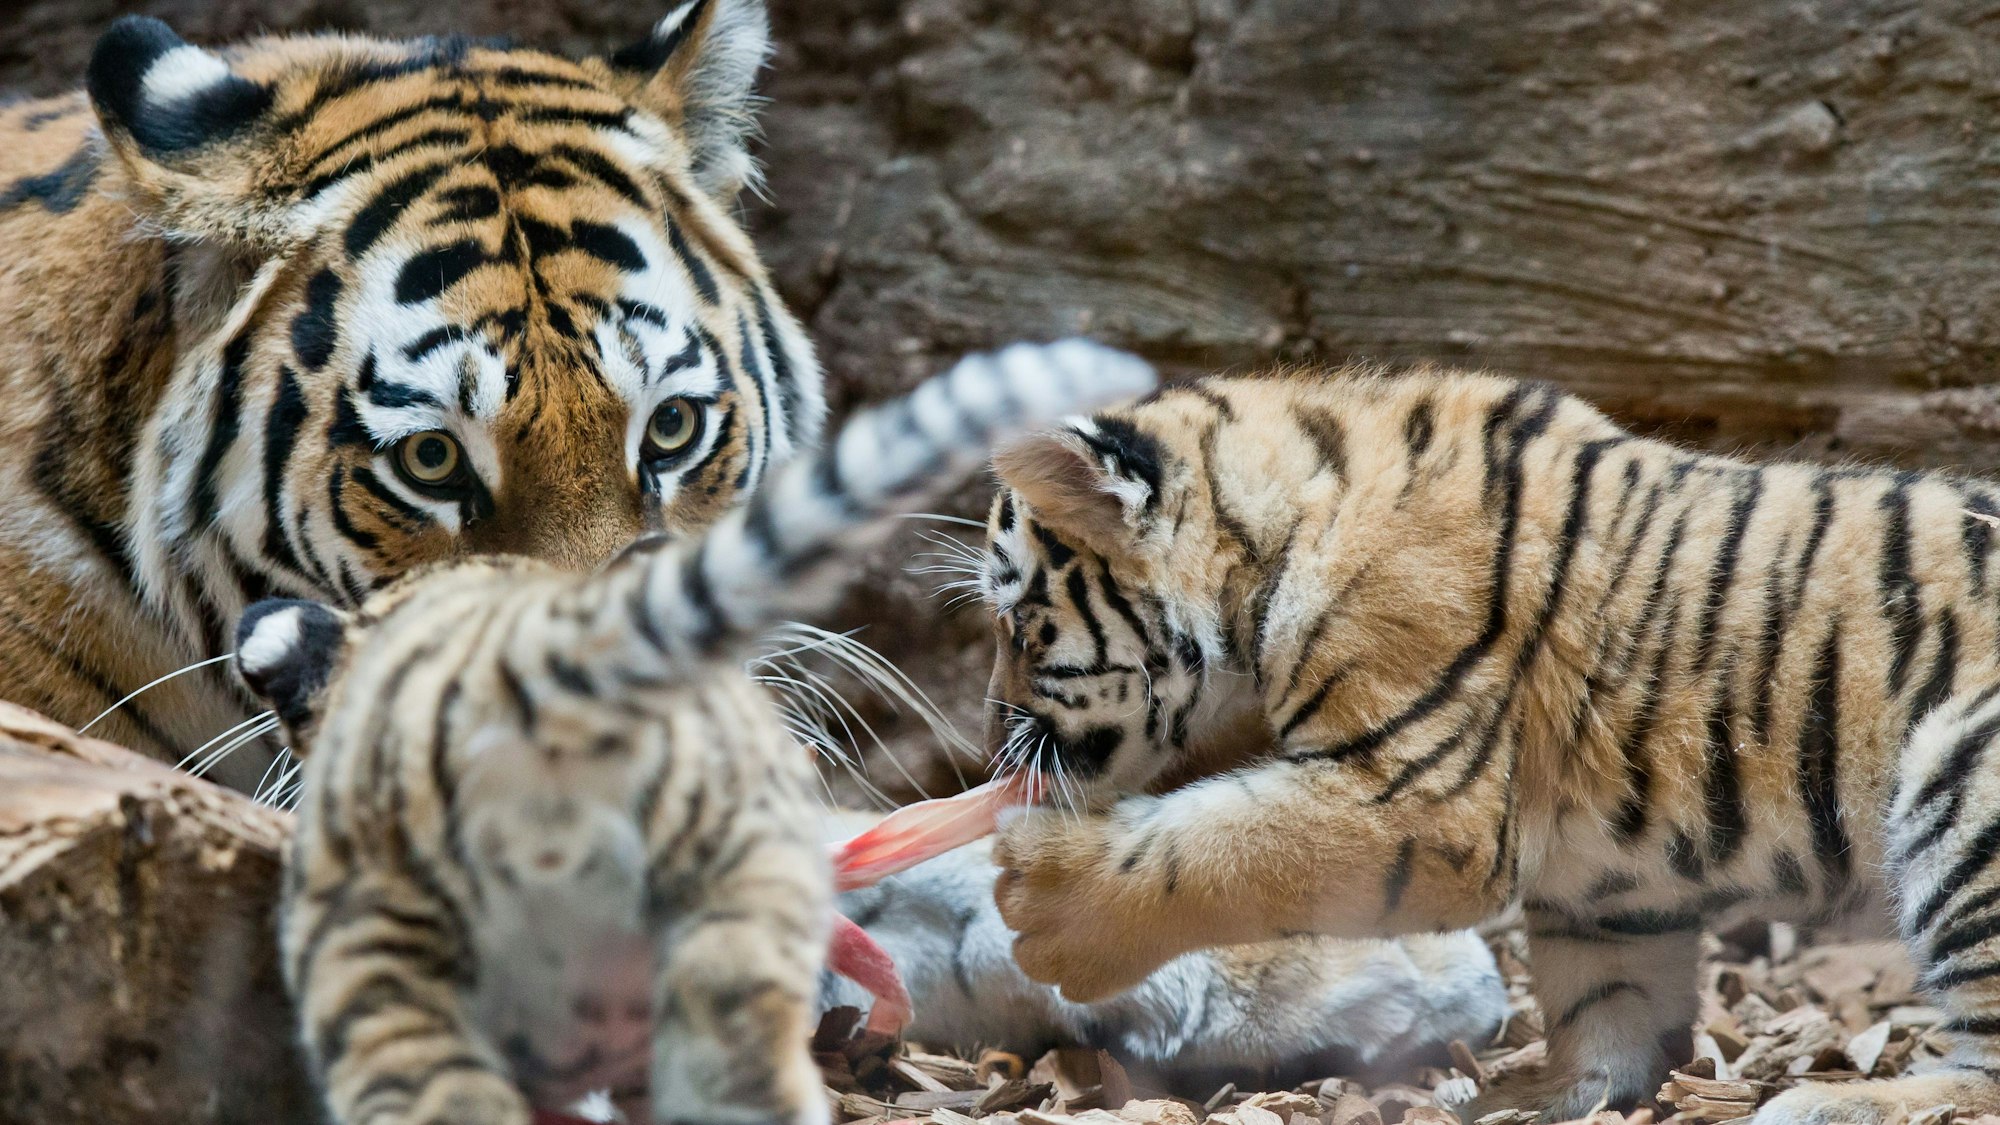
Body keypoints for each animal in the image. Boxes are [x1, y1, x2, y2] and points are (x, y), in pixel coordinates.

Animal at [973, 364, 2000, 1125]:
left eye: (1017, 620)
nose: (991, 733)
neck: (1265, 549)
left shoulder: (1421, 797)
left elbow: (1227, 842)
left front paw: (1050, 901)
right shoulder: (1610, 878)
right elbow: (1606, 992)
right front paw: (1550, 1091)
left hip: (1962, 780)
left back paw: (1837, 1103)